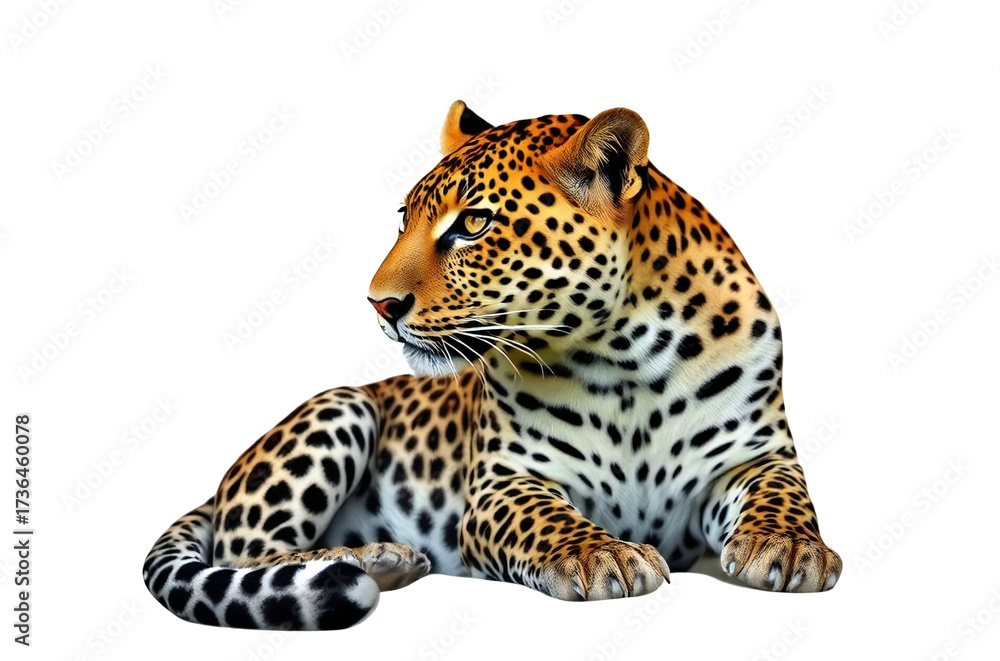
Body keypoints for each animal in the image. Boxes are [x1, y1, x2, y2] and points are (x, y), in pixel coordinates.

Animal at [142, 101, 842, 630]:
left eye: (474, 223)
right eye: (405, 220)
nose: (378, 302)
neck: (626, 358)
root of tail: (219, 488)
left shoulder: (754, 456)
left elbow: (784, 496)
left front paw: (789, 548)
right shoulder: (506, 483)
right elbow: (548, 520)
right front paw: (602, 556)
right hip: (341, 406)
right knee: (247, 552)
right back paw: (375, 559)